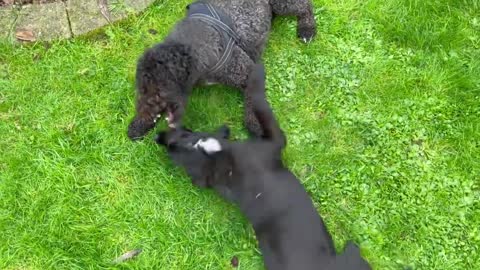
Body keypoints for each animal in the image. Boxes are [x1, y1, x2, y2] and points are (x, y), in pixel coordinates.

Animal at [127, 0, 316, 139]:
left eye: (159, 93)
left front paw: (256, 125)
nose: (143, 111)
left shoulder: (249, 73)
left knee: (305, 6)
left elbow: (252, 105)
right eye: (141, 90)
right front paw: (139, 125)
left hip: (282, 5)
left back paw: (307, 29)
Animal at [154, 64, 372, 268]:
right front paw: (257, 75)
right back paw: (353, 245)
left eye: (183, 133)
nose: (160, 137)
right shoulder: (274, 139)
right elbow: (261, 105)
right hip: (352, 262)